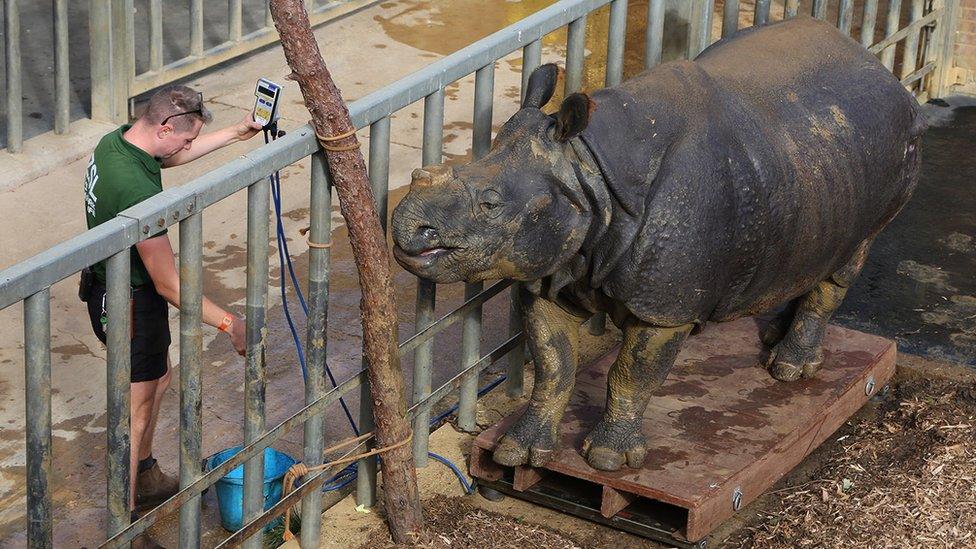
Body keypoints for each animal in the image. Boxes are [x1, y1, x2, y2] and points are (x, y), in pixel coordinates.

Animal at [386, 17, 924, 470]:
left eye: (491, 204)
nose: (408, 227)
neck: (588, 172)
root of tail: (878, 69)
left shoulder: (664, 308)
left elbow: (631, 373)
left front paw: (608, 460)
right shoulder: (553, 268)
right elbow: (555, 366)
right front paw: (518, 453)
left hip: (887, 146)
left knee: (848, 258)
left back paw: (790, 370)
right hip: (814, 155)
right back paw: (772, 337)